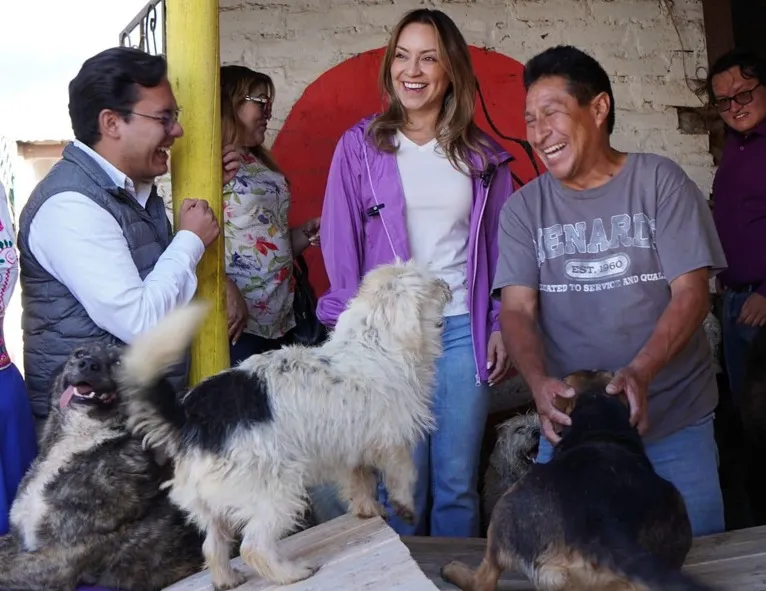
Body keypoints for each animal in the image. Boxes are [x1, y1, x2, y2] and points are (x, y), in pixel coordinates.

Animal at [118, 262, 452, 588]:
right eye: (429, 283)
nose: (448, 285)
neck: (374, 341)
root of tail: (189, 417)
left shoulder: (350, 446)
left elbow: (360, 481)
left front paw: (367, 509)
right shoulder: (392, 440)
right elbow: (403, 474)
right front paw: (403, 506)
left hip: (213, 506)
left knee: (213, 546)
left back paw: (227, 579)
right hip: (276, 490)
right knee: (253, 547)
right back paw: (290, 573)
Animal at [444, 372, 712, 588]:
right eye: (519, 430)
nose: (536, 431)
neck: (599, 421)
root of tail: (599, 526)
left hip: (502, 517)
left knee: (483, 580)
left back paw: (453, 570)